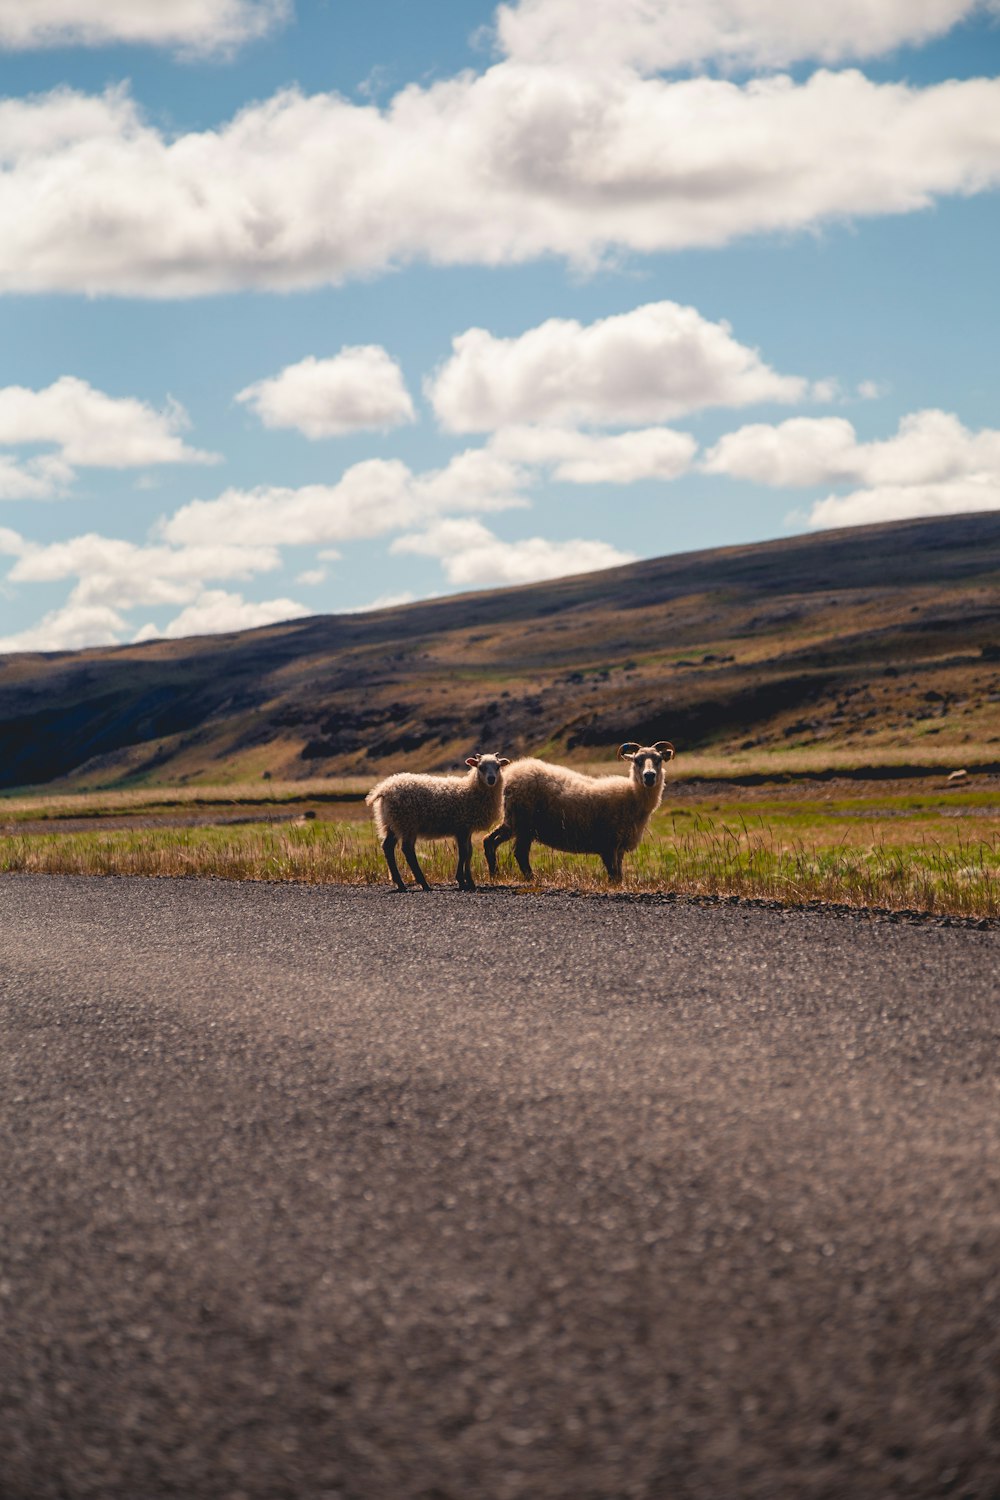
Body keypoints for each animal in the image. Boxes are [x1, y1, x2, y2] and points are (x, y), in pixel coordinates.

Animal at [365, 750, 509, 888]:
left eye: (498, 766)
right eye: (481, 767)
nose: (491, 779)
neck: (471, 789)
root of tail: (384, 789)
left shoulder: (467, 829)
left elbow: (469, 853)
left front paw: (470, 881)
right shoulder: (461, 827)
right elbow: (463, 853)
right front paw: (462, 880)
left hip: (392, 823)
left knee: (388, 847)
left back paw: (400, 883)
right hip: (407, 822)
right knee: (407, 850)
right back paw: (423, 883)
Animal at [482, 741, 677, 882]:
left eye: (659, 759)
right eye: (637, 760)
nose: (649, 776)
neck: (633, 796)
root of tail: (511, 774)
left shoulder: (619, 846)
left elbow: (619, 874)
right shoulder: (607, 843)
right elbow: (613, 875)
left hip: (514, 820)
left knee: (489, 840)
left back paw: (494, 873)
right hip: (524, 823)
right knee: (520, 853)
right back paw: (531, 879)